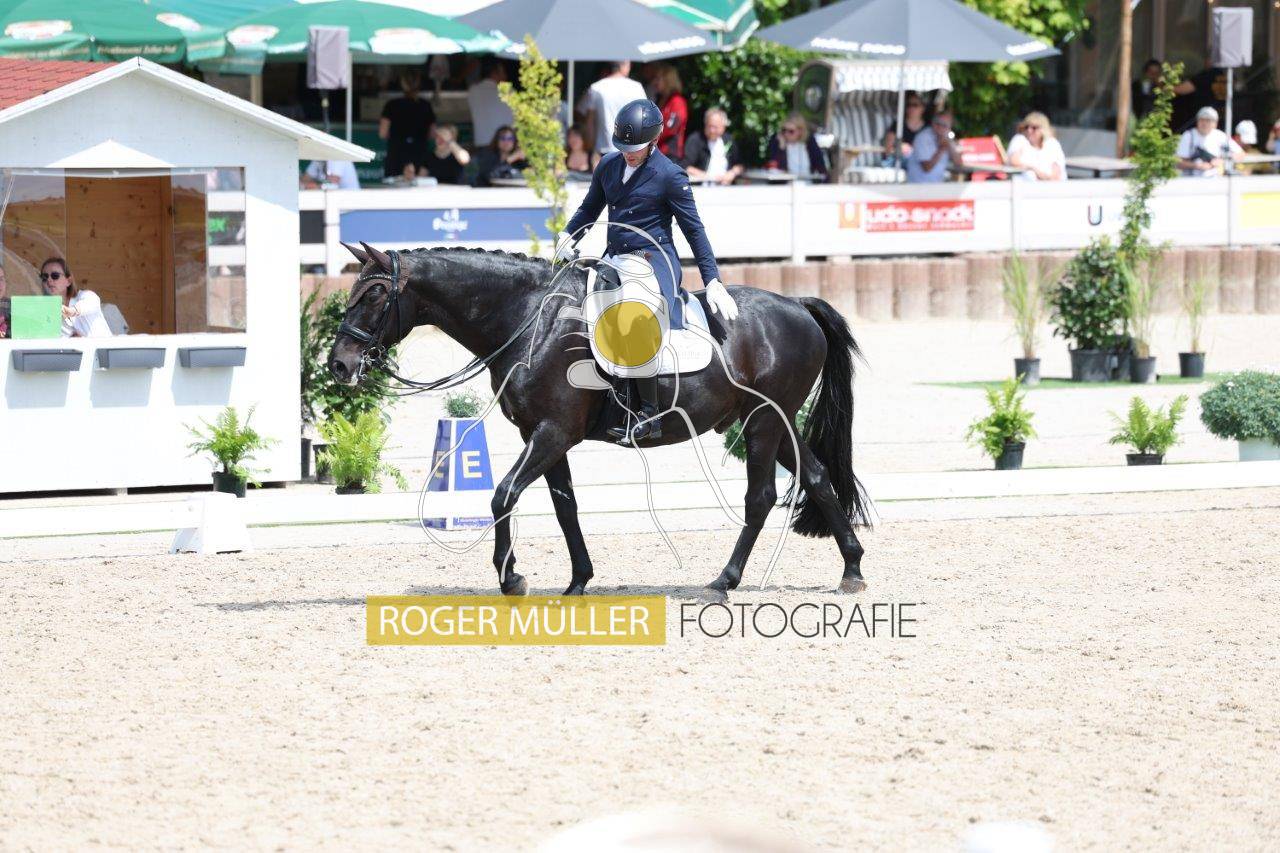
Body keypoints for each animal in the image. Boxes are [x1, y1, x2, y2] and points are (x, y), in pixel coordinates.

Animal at [326, 242, 871, 598]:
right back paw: (851, 569)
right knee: (817, 477)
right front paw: (578, 580)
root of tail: (797, 304)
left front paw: (511, 578)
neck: (531, 320)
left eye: (374, 295)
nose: (340, 365)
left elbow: (503, 494)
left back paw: (725, 580)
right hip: (777, 422)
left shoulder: (554, 432)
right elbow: (564, 506)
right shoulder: (541, 434)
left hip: (761, 422)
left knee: (761, 497)